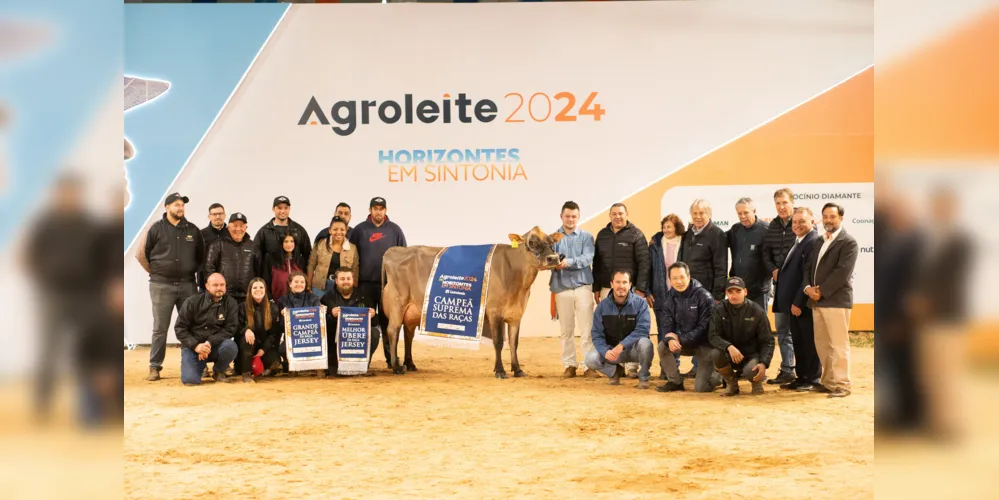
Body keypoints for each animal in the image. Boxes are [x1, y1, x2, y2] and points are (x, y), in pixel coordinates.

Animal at [378, 225, 564, 376]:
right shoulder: (495, 312)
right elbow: (498, 342)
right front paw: (500, 371)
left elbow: (514, 343)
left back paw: (410, 364)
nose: (554, 258)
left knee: (408, 333)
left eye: (551, 241)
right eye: (531, 242)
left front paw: (517, 370)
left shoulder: (516, 315)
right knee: (393, 330)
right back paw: (397, 367)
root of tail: (392, 251)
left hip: (412, 310)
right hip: (397, 303)